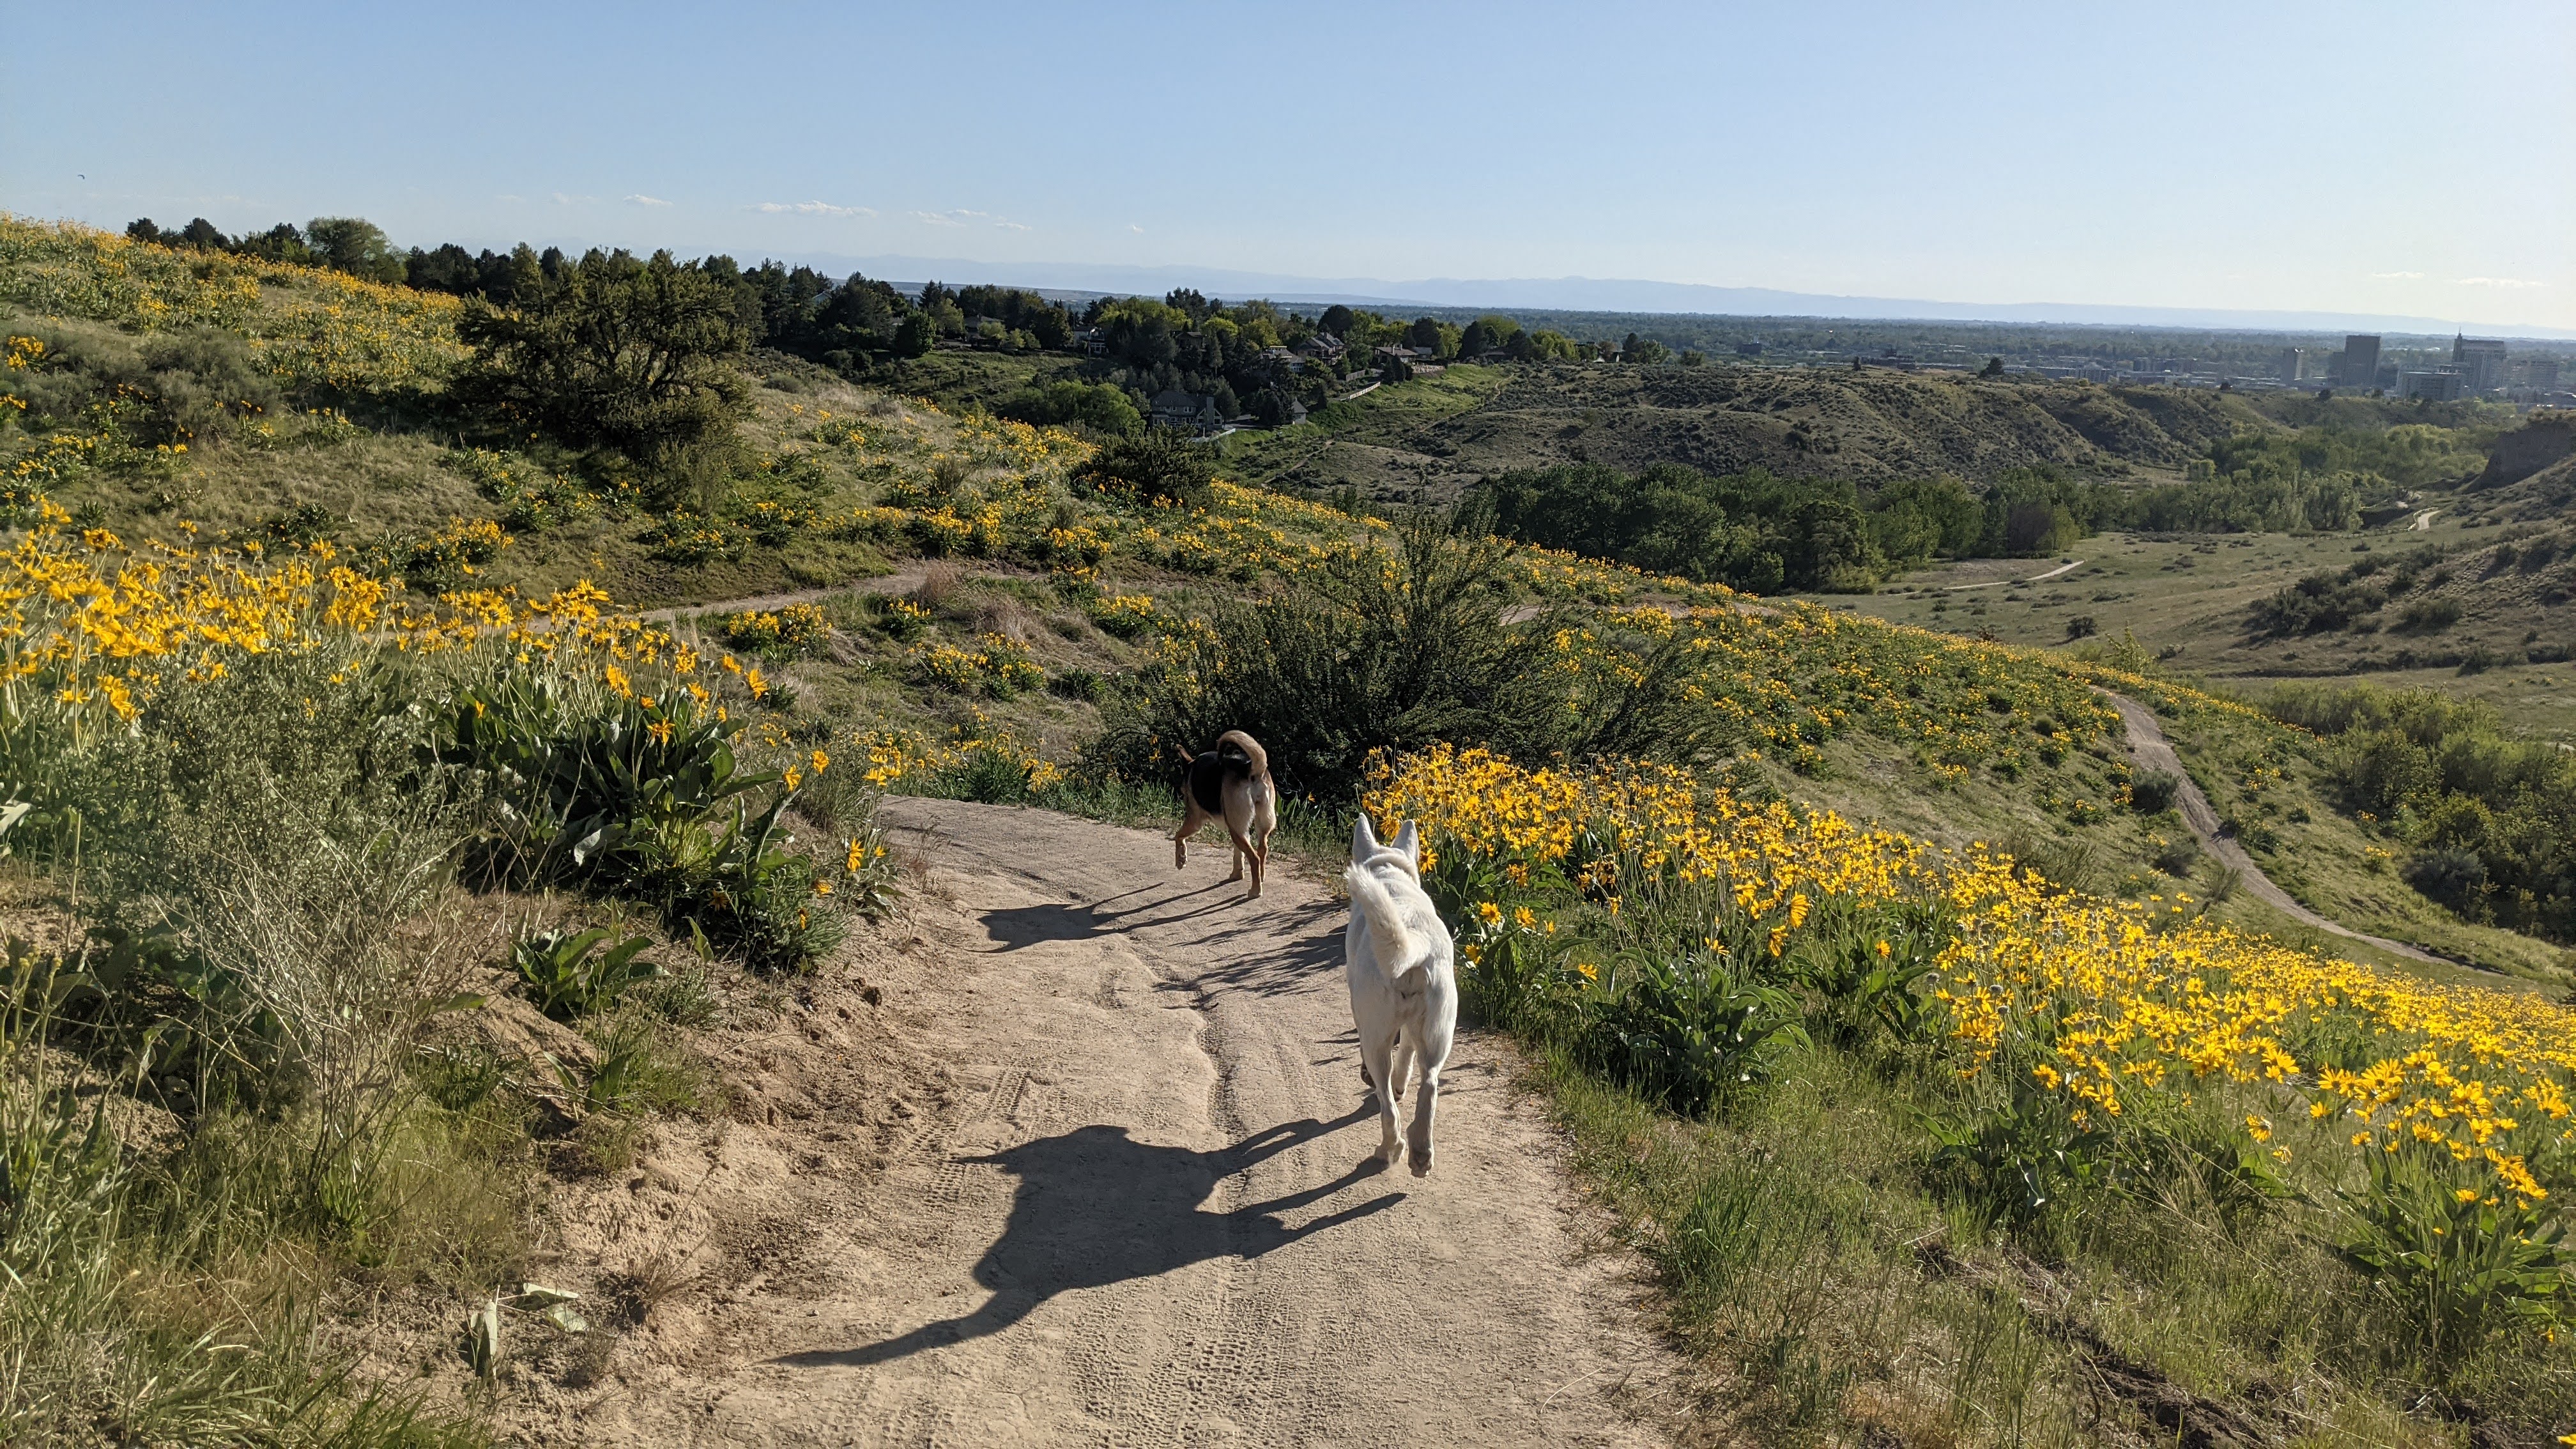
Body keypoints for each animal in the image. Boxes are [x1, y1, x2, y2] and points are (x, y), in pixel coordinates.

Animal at [1174, 727, 1282, 897]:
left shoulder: (1195, 820)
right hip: (1256, 824)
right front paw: (1237, 874)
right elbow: (1238, 855)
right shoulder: (1240, 828)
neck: (1191, 767)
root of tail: (1252, 769)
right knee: (1262, 850)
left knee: (1254, 858)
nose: (1184, 796)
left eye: (1184, 792)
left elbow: (1178, 836)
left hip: (1235, 828)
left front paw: (1181, 859)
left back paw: (1255, 891)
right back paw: (1261, 877)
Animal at [1349, 815, 1453, 1176]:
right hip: (1440, 1033)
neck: (1389, 873)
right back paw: (1421, 1152)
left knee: (1389, 1110)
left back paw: (1389, 1151)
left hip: (1377, 1041)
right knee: (1430, 1084)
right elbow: (1406, 1052)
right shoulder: (1411, 1029)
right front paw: (1401, 1083)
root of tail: (1415, 939)